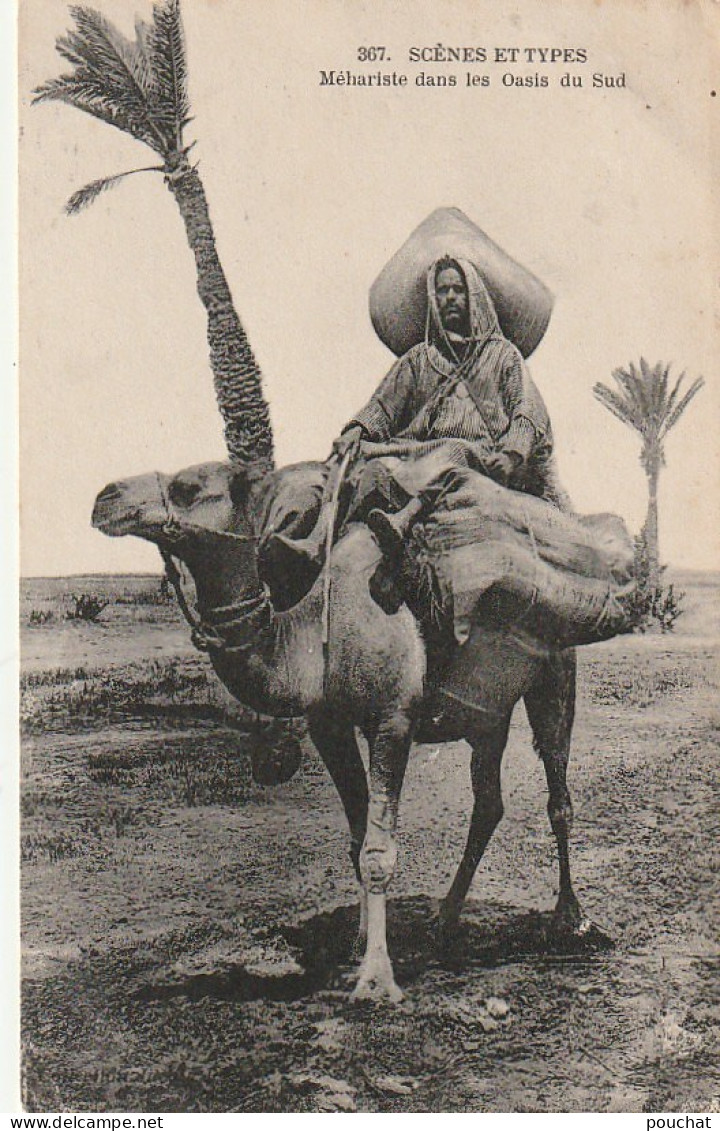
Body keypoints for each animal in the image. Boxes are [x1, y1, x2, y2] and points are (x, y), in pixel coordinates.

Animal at [93, 454, 587, 1004]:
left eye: (189, 487)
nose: (105, 498)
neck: (315, 634)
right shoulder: (328, 726)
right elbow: (355, 839)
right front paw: (356, 948)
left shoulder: (394, 719)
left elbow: (377, 852)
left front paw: (376, 979)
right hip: (487, 710)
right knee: (488, 803)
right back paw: (444, 919)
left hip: (554, 672)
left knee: (558, 794)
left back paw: (570, 919)